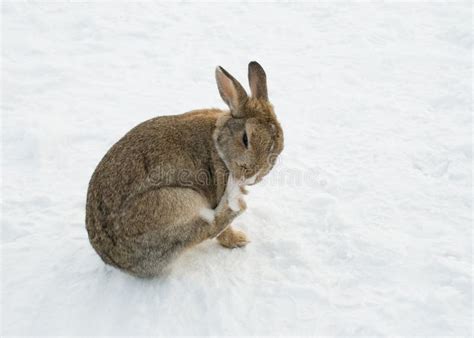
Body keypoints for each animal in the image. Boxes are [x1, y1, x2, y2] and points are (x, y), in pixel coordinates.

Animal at [85, 61, 284, 278]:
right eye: (246, 139)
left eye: (278, 150)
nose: (251, 174)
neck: (218, 142)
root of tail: (119, 262)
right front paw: (236, 240)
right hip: (176, 202)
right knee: (206, 228)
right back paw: (236, 212)